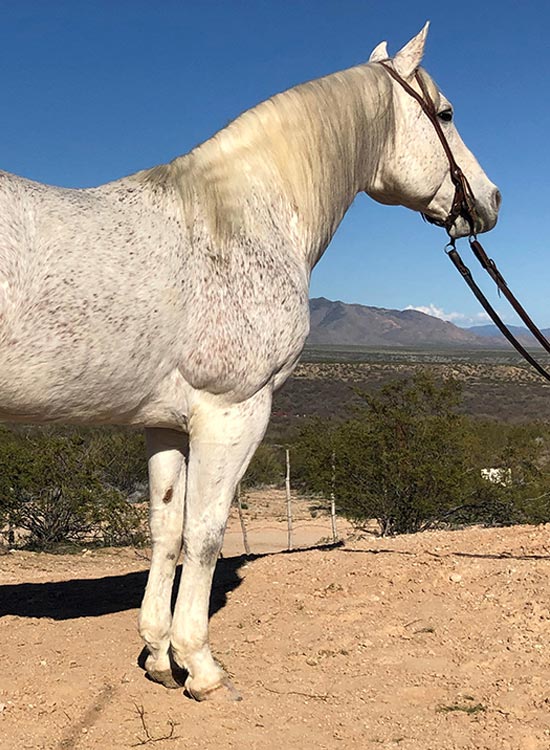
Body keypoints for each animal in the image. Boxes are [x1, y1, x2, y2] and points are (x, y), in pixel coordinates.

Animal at [0, 23, 500, 700]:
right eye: (445, 113)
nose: (491, 200)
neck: (235, 216)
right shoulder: (233, 411)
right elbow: (206, 533)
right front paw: (201, 666)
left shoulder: (164, 425)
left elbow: (166, 530)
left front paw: (158, 656)